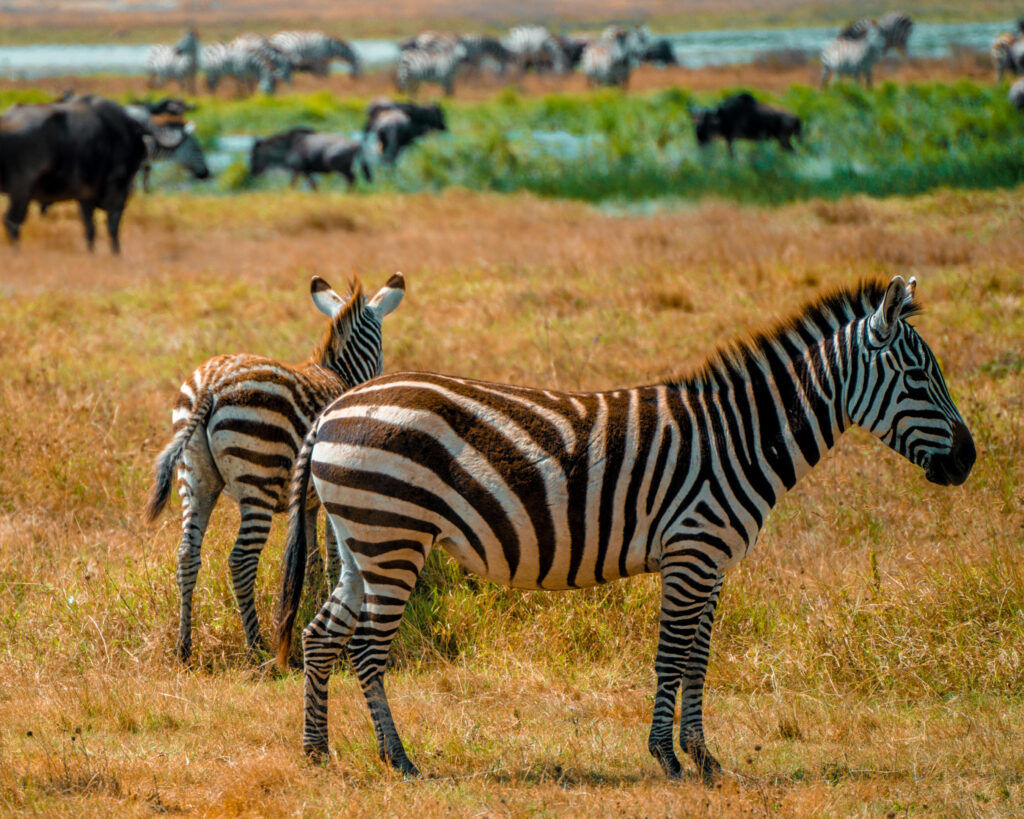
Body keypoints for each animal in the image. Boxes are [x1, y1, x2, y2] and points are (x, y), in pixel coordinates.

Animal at [145, 274, 405, 663]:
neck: (338, 373)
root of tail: (209, 386)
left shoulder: (309, 500)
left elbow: (310, 556)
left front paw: (312, 595)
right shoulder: (328, 491)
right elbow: (331, 555)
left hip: (193, 476)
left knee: (187, 555)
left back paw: (184, 647)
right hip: (259, 478)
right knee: (241, 561)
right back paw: (256, 647)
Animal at [275, 276, 974, 781]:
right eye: (919, 376)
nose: (969, 461)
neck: (742, 438)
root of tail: (337, 405)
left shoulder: (713, 562)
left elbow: (698, 660)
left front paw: (704, 758)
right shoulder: (692, 552)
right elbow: (670, 657)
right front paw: (668, 758)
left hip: (360, 540)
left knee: (320, 634)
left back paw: (317, 752)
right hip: (393, 535)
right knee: (366, 647)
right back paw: (400, 760)